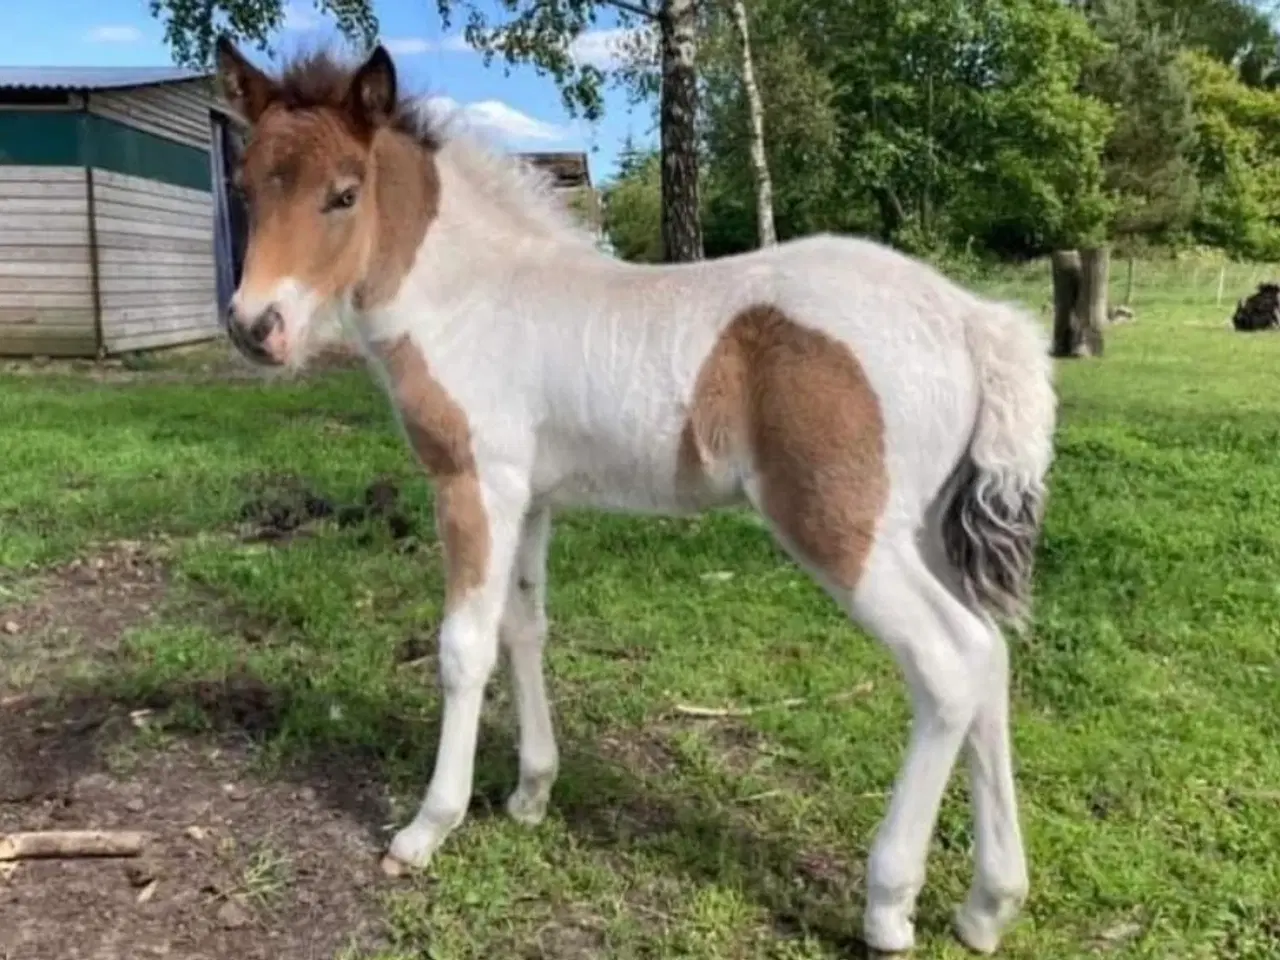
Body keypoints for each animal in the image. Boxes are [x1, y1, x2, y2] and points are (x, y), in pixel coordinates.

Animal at [217, 37, 1059, 957]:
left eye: (344, 193)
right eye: (246, 186)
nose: (256, 328)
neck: (470, 296)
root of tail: (969, 318)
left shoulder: (475, 483)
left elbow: (462, 648)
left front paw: (427, 828)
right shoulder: (532, 498)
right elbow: (524, 627)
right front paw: (531, 793)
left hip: (845, 528)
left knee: (948, 664)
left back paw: (888, 903)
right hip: (928, 533)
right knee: (991, 656)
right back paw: (988, 906)